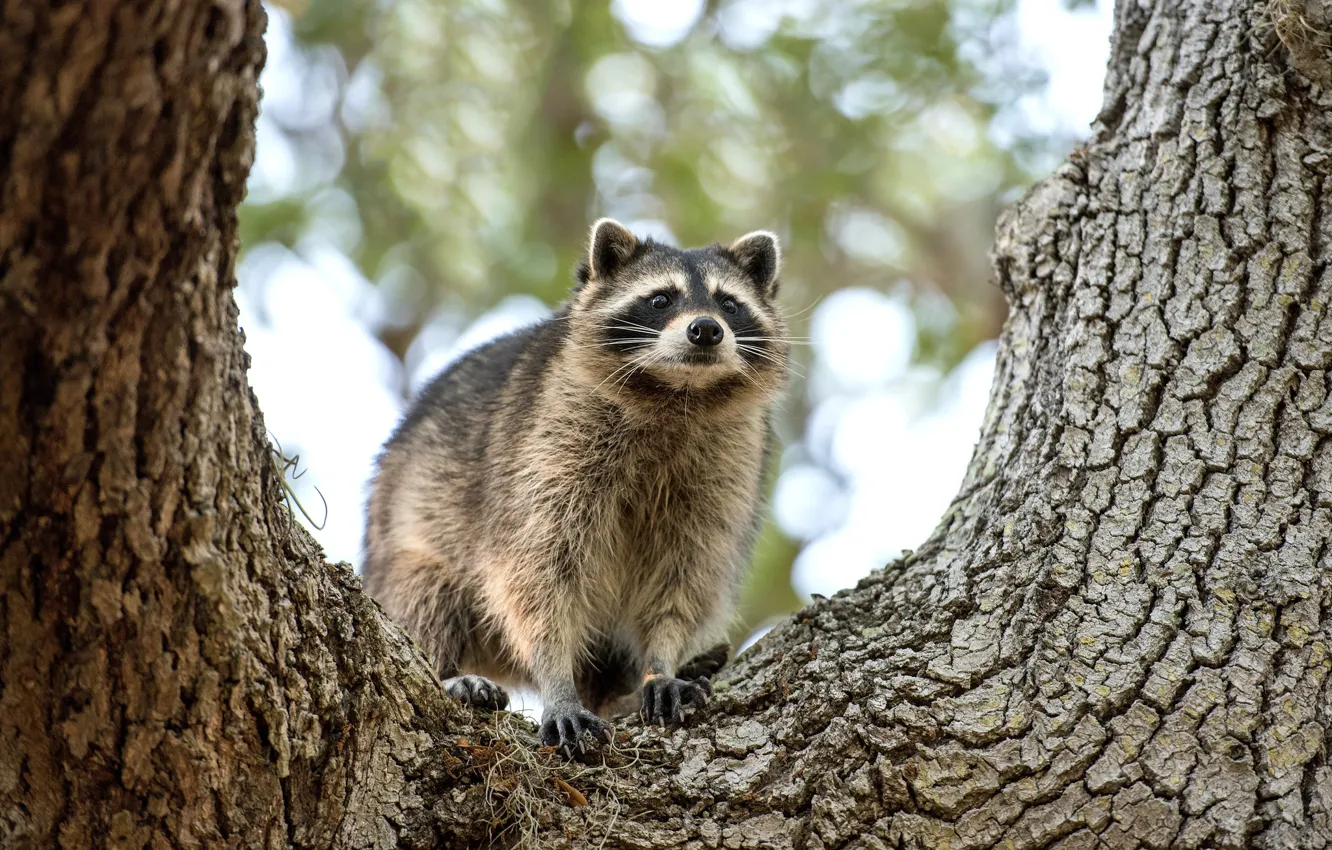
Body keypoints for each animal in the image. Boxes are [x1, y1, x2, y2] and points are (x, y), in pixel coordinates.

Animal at [362, 219, 789, 754]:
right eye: (660, 299)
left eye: (729, 304)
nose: (707, 329)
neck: (679, 393)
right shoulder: (546, 446)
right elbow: (536, 572)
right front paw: (557, 682)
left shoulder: (727, 467)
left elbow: (687, 574)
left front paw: (661, 662)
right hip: (402, 538)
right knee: (424, 590)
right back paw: (448, 670)